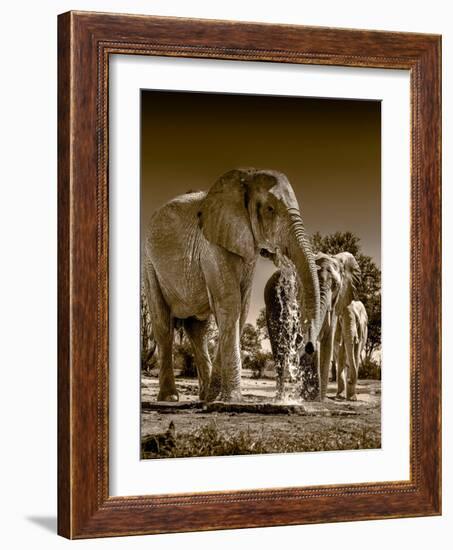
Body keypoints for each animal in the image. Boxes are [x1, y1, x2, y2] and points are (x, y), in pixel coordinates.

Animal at [143, 166, 320, 404]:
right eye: (270, 209)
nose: (307, 346)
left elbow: (241, 308)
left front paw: (217, 398)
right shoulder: (212, 245)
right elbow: (230, 303)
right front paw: (233, 399)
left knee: (198, 330)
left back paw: (204, 398)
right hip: (150, 265)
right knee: (163, 325)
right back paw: (170, 397)